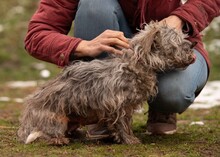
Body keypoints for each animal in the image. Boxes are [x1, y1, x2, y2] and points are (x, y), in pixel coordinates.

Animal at [17, 21, 196, 145]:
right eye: (176, 41)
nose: (192, 44)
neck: (134, 65)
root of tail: (26, 124)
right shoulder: (120, 106)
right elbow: (123, 125)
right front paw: (130, 140)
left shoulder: (125, 107)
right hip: (57, 119)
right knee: (43, 135)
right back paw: (58, 140)